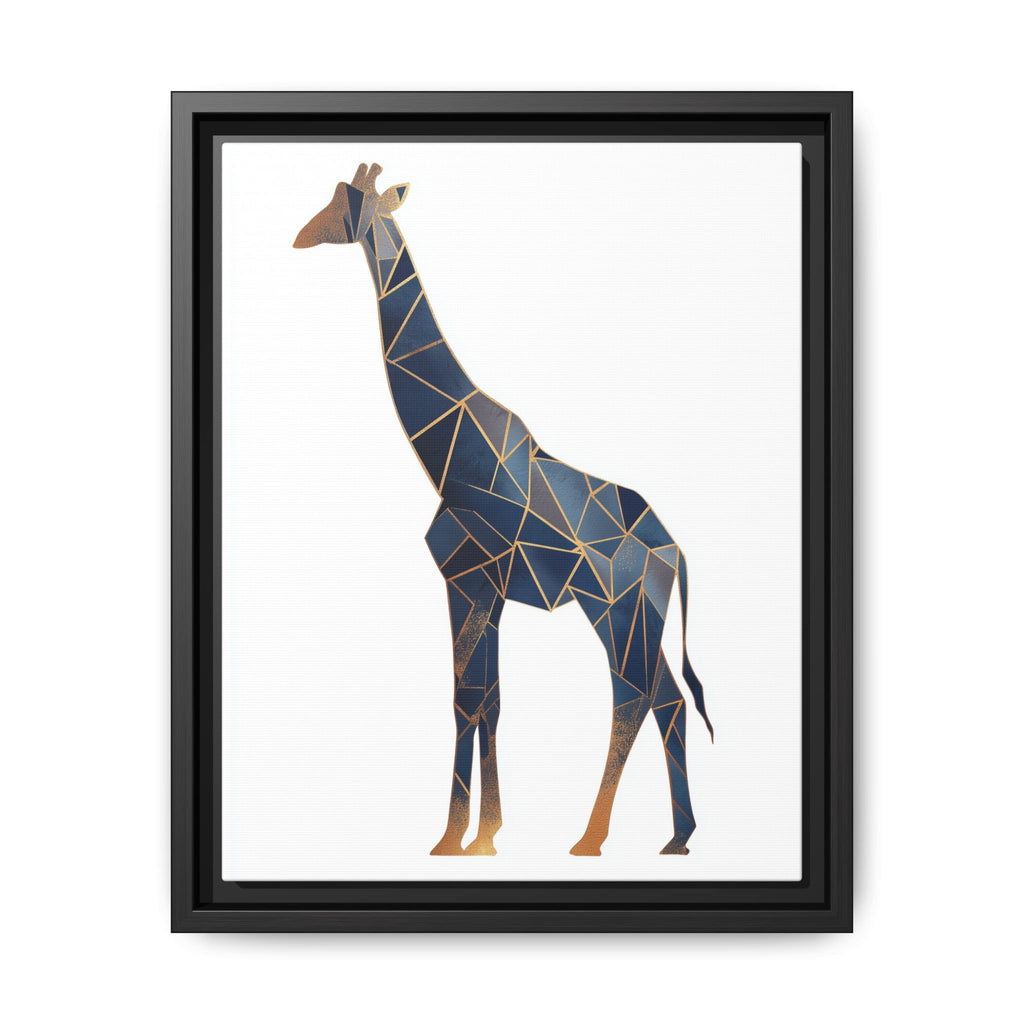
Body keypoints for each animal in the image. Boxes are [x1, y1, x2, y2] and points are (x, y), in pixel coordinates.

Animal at [294, 163, 713, 857]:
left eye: (347, 204)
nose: (302, 235)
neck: (448, 454)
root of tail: (674, 551)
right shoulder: (481, 589)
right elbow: (485, 700)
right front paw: (478, 835)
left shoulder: (469, 579)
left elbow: (469, 700)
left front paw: (460, 837)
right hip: (638, 615)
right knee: (668, 700)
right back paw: (677, 837)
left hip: (615, 608)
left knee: (632, 697)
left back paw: (591, 838)